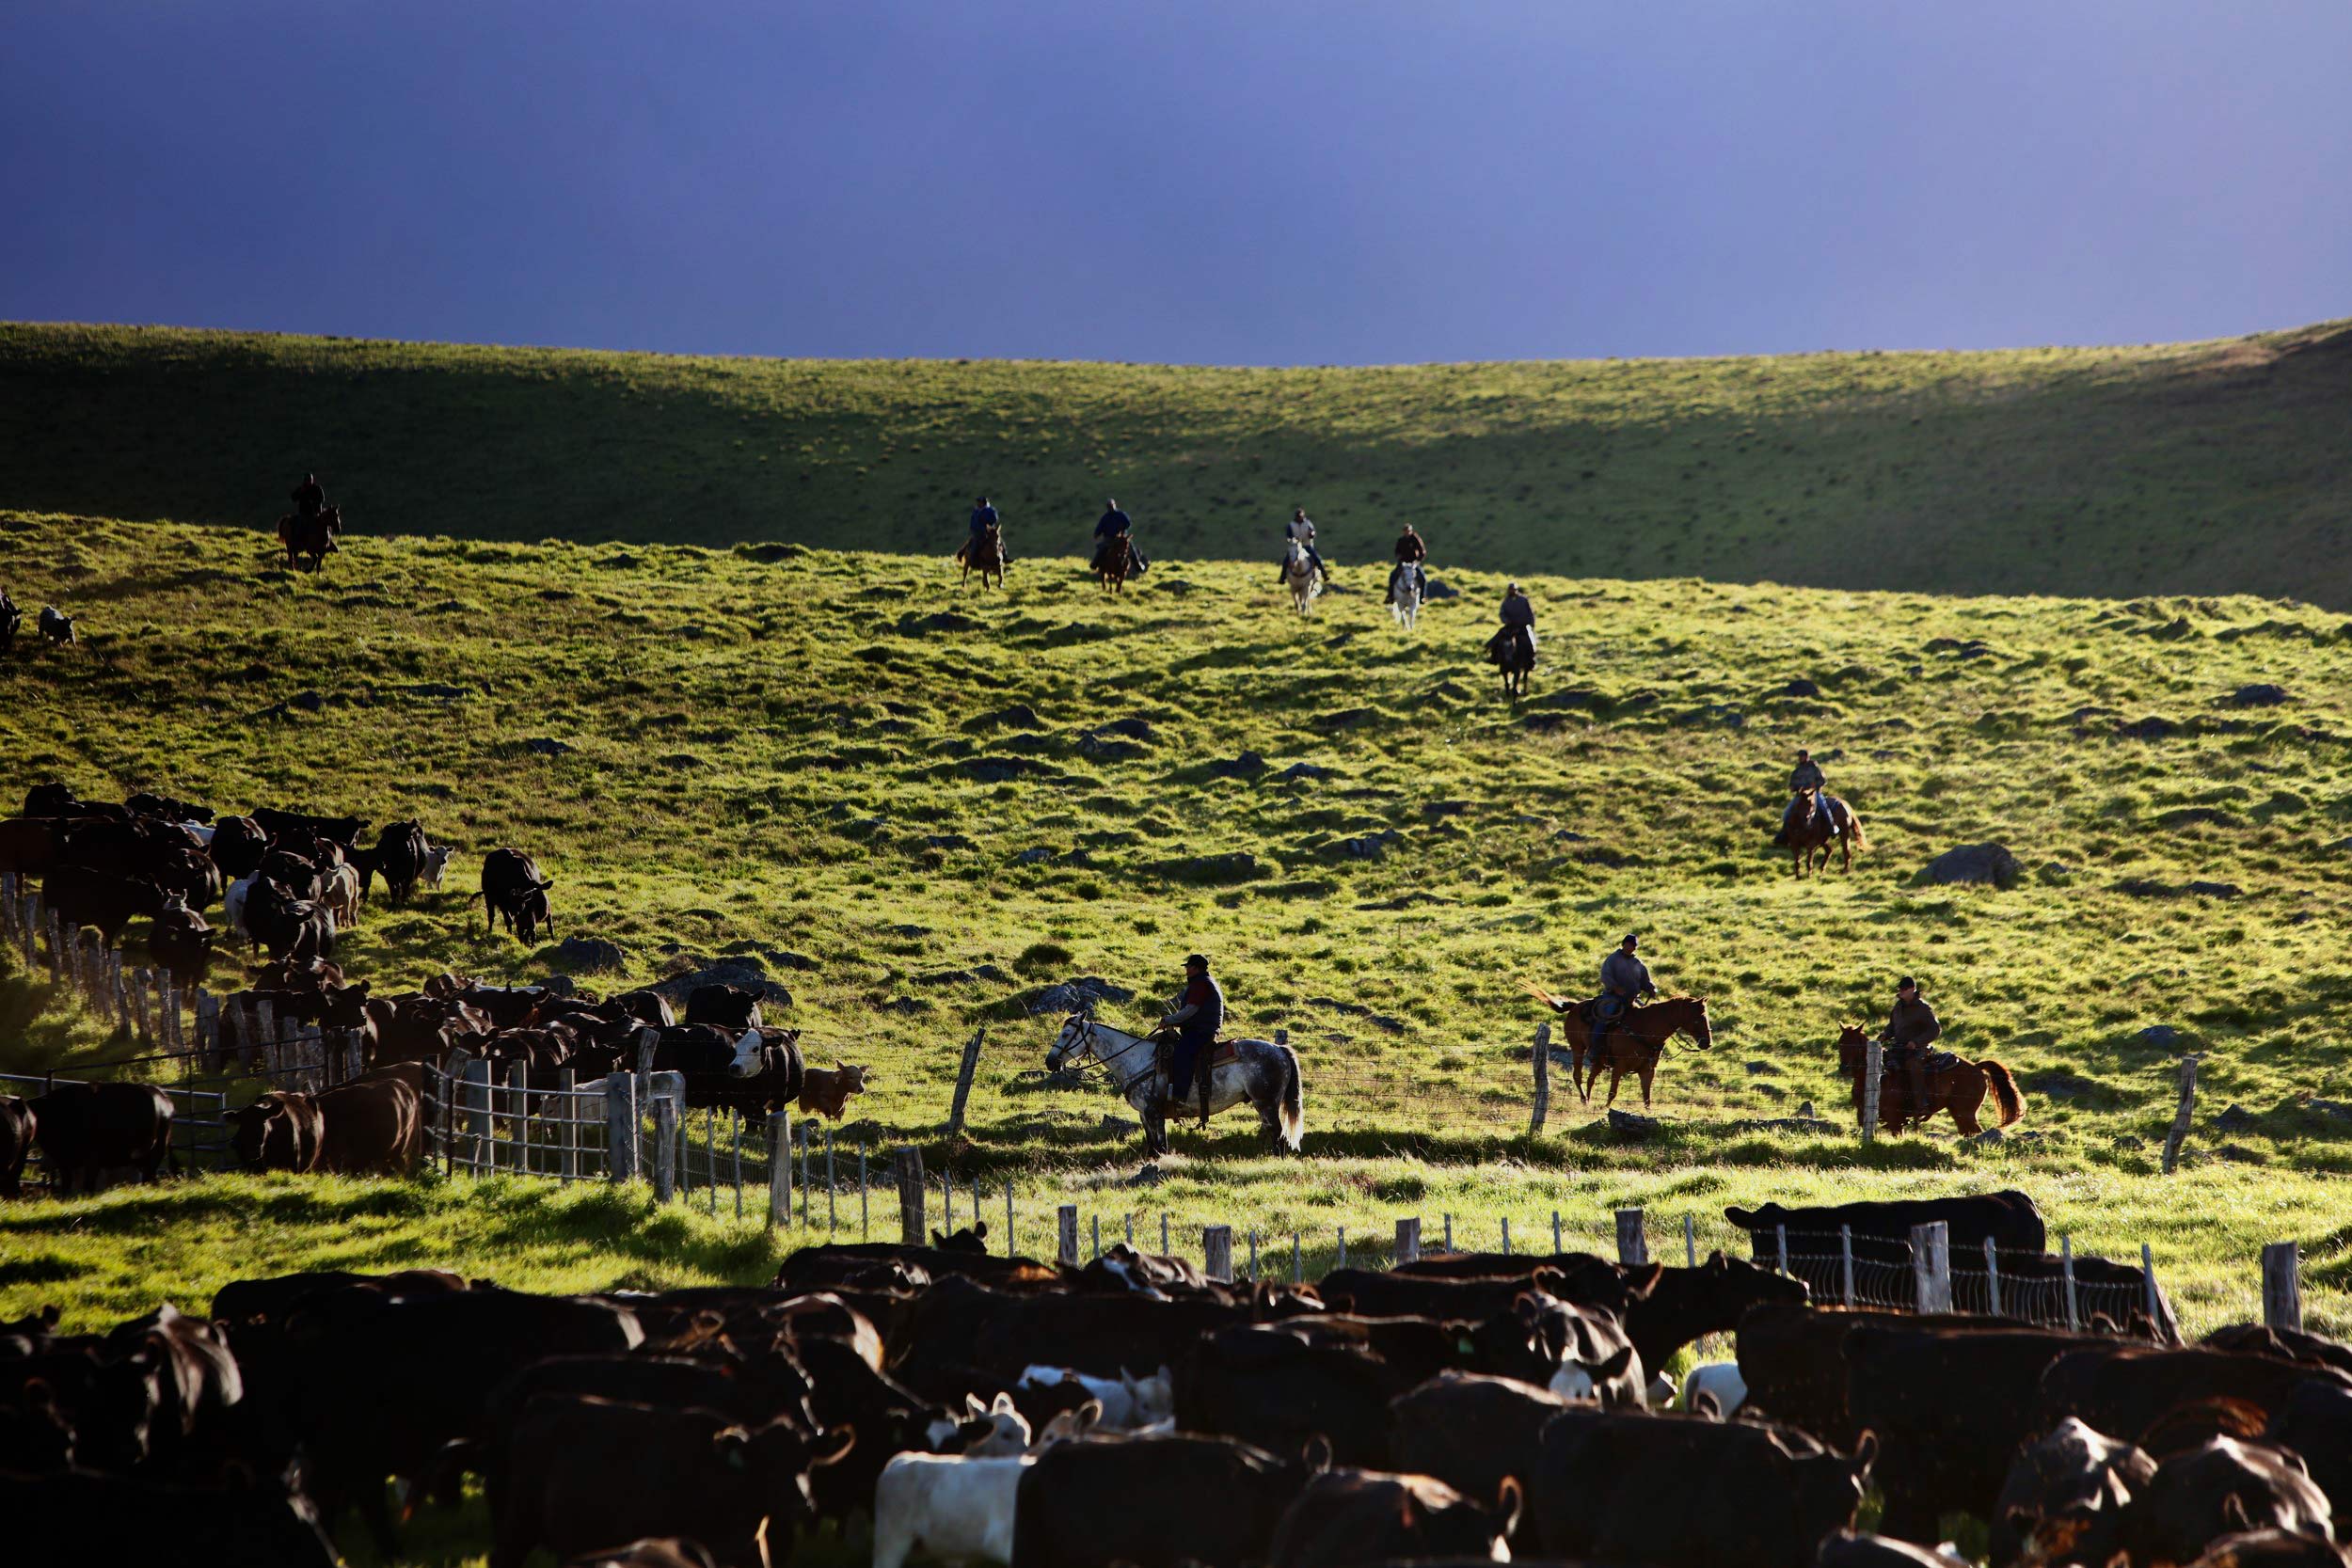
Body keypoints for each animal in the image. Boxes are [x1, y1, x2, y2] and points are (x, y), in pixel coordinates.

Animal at [27, 1085, 172, 1194]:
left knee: (149, 1175)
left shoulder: (92, 1157)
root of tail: (162, 1096)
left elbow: (88, 1184)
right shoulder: (63, 1160)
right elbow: (67, 1184)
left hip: (157, 1149)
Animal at [1049, 1010, 1308, 1161]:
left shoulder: (1153, 1112)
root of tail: (1279, 1050)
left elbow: (1161, 1146)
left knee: (1278, 1134)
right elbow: (1151, 1146)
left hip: (1266, 1103)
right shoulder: (1145, 1114)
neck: (1137, 1059)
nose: (1050, 1061)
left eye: (1066, 1034)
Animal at [1835, 1024, 2023, 1132]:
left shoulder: (1895, 1119)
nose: (1844, 1068)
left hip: (1966, 1113)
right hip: (1959, 1113)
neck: (1877, 1077)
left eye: (1855, 1044)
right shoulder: (1863, 1116)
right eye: (1840, 1043)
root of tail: (1977, 1067)